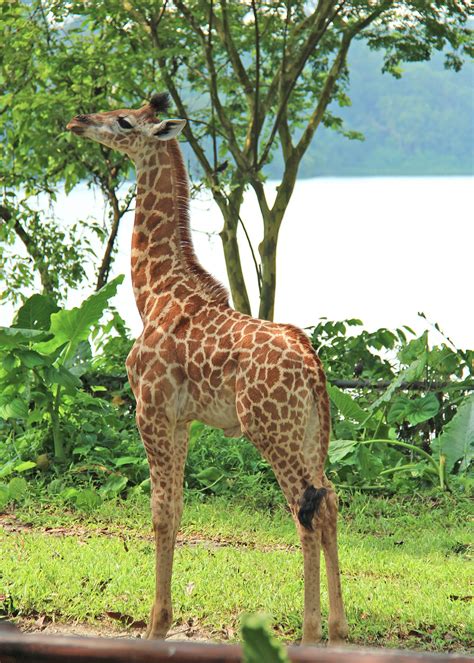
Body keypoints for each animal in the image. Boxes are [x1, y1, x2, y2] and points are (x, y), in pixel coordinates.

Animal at [66, 92, 348, 644]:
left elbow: (160, 513)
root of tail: (313, 366)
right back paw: (340, 632)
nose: (78, 121)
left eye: (124, 122)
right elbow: (175, 510)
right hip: (311, 433)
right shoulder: (181, 420)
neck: (153, 294)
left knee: (304, 513)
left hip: (272, 431)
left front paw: (155, 627)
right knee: (328, 505)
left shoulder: (150, 409)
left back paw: (309, 634)